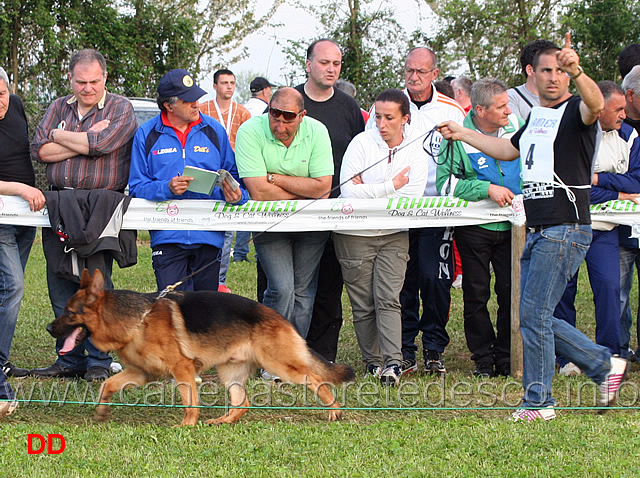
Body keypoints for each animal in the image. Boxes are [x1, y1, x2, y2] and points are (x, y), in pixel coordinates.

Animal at [46, 268, 356, 426]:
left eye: (69, 313)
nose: (49, 328)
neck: (136, 320)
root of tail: (279, 317)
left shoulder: (182, 368)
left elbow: (189, 399)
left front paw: (187, 425)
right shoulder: (141, 373)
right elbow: (107, 385)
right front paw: (101, 411)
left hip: (281, 365)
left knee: (316, 379)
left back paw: (334, 410)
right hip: (230, 373)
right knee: (242, 403)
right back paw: (223, 421)